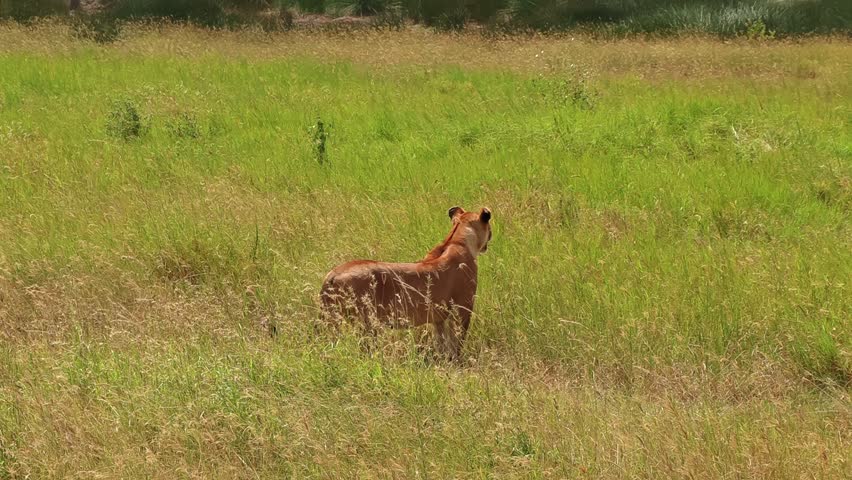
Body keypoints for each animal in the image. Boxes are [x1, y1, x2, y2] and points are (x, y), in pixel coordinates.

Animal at [319, 206, 493, 360]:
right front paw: (456, 361)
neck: (456, 240)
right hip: (366, 323)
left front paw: (444, 359)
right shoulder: (462, 308)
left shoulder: (438, 317)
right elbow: (457, 341)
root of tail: (332, 275)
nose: (490, 238)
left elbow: (442, 341)